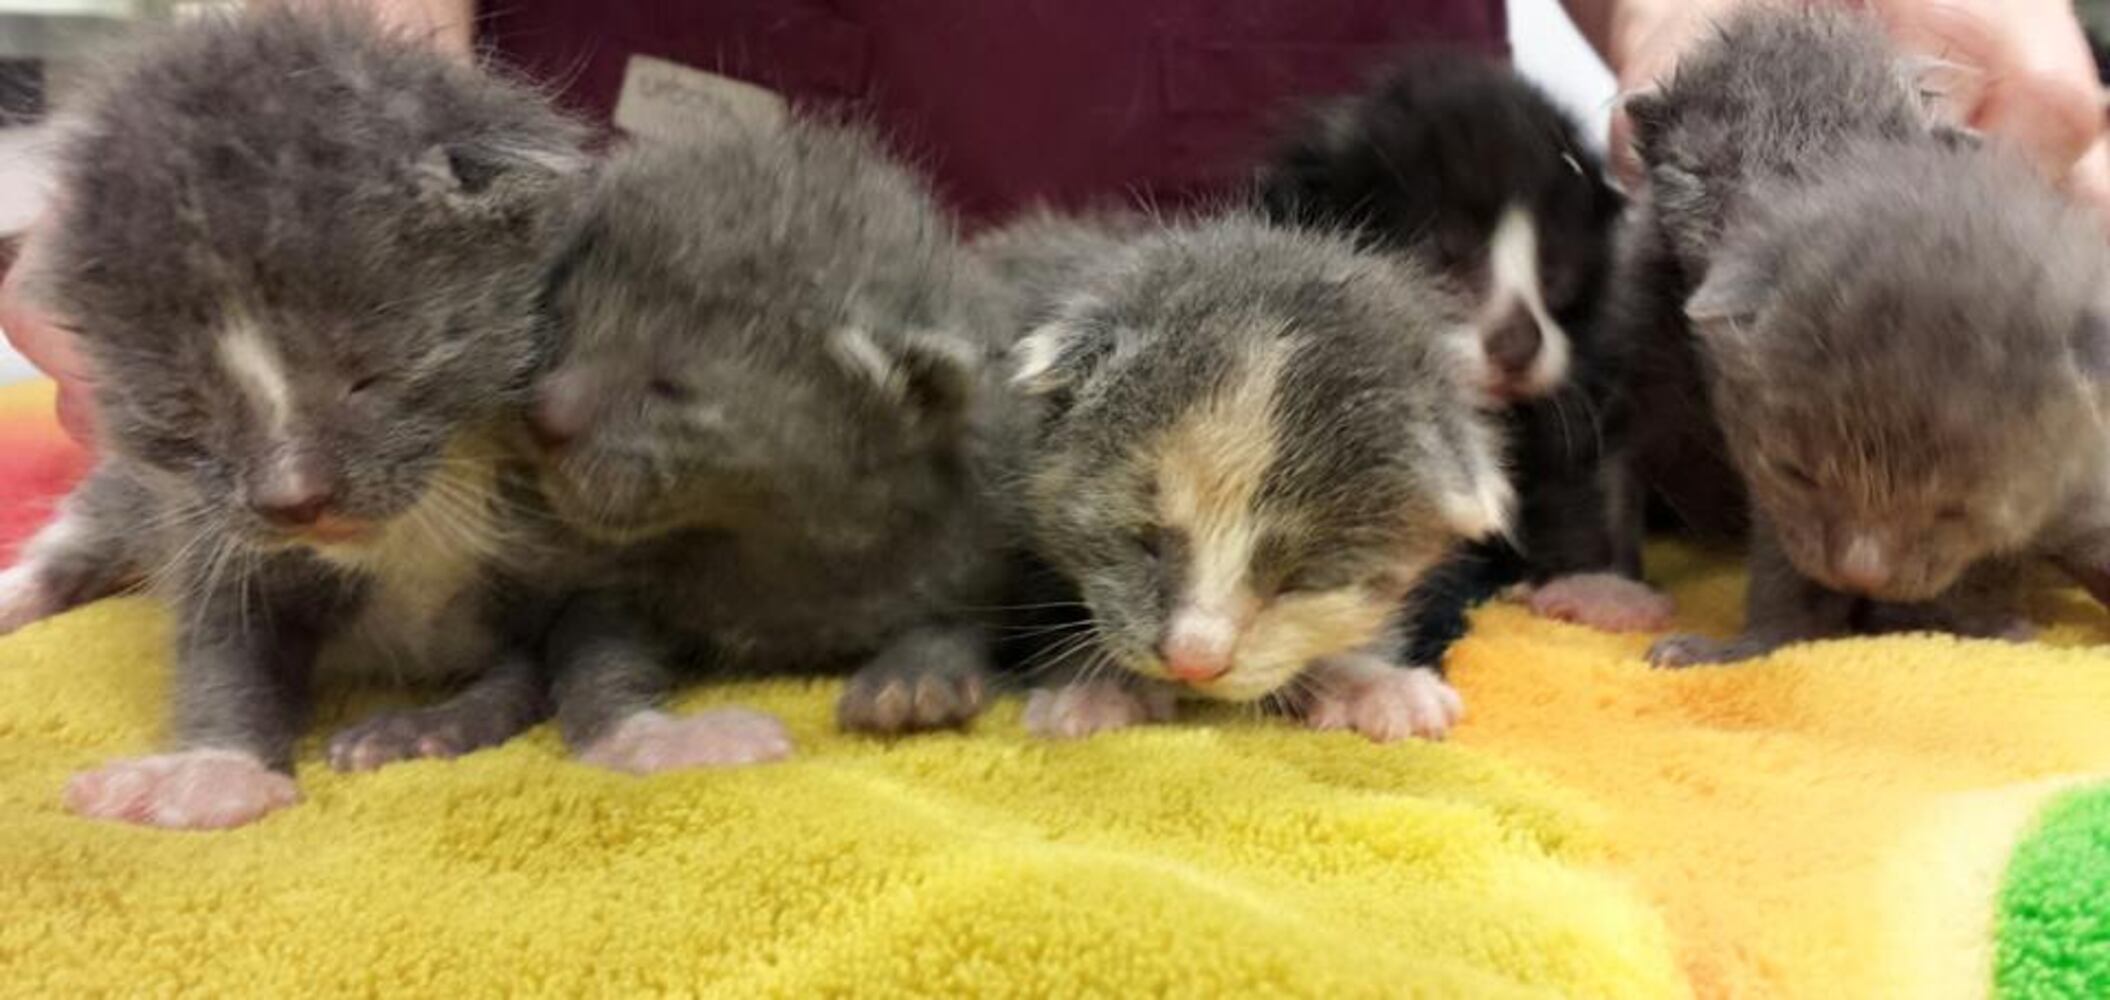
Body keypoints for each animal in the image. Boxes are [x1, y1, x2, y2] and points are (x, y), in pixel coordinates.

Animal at [1, 7, 587, 828]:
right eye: (186, 408)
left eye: (370, 373)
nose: (296, 501)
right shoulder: (200, 519)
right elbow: (223, 635)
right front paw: (215, 773)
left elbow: (531, 662)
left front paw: (428, 731)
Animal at [529, 119, 1028, 773]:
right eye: (566, 322)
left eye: (670, 388)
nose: (543, 415)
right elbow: (591, 646)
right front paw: (660, 739)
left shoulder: (968, 547)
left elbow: (965, 624)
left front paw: (914, 681)